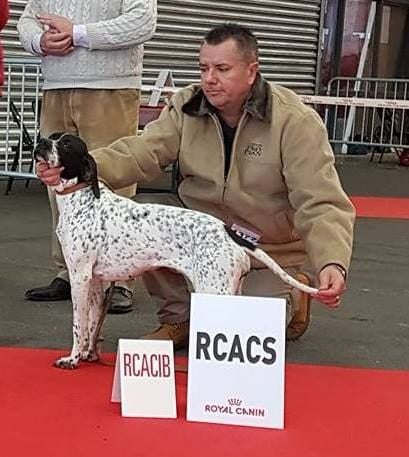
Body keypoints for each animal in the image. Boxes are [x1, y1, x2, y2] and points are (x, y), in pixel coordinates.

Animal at [34, 134, 316, 368]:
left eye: (66, 144)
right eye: (53, 136)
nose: (41, 142)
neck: (82, 200)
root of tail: (229, 232)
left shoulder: (79, 277)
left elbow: (78, 325)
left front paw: (72, 359)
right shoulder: (93, 280)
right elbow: (92, 325)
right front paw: (87, 355)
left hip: (212, 289)